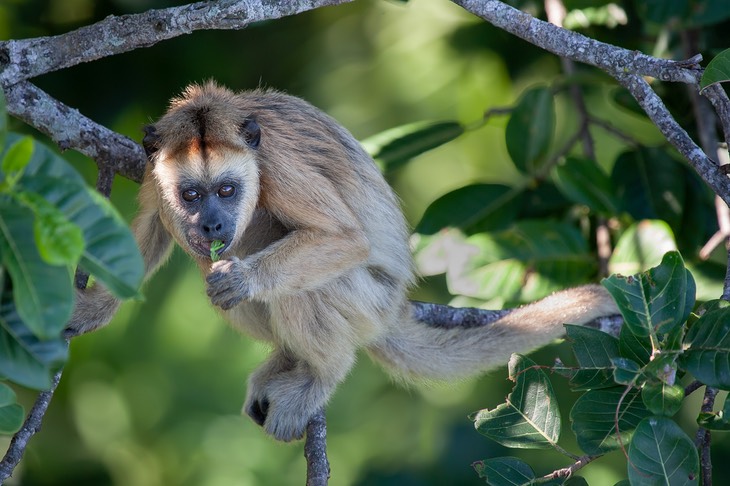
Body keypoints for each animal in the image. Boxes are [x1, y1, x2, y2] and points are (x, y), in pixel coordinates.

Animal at [68, 81, 616, 442]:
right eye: (191, 195)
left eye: (226, 190)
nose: (213, 226)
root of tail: (394, 309)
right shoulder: (154, 170)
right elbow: (152, 228)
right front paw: (95, 308)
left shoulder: (277, 166)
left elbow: (344, 237)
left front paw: (245, 279)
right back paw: (286, 359)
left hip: (366, 301)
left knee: (299, 281)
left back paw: (321, 373)